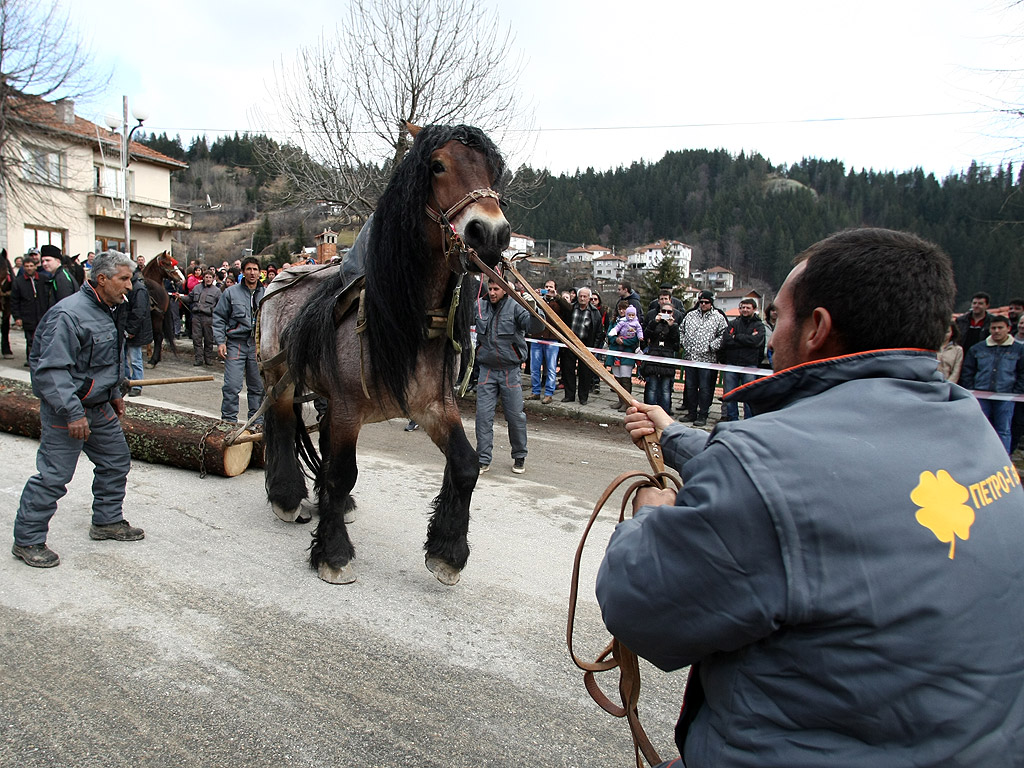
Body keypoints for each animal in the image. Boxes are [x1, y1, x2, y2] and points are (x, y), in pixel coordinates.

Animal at [258, 124, 509, 581]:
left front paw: (447, 552)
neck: (402, 320)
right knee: (282, 425)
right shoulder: (347, 408)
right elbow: (342, 473)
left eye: (493, 171)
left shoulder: (432, 406)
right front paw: (334, 554)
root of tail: (277, 280)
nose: (491, 233)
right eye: (437, 165)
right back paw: (287, 497)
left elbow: (465, 465)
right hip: (279, 380)